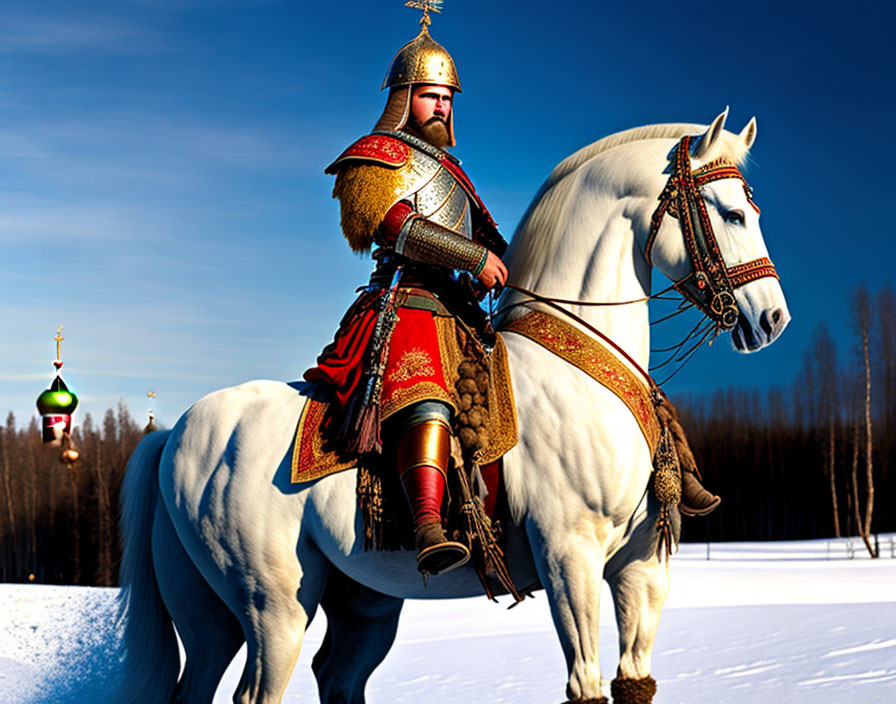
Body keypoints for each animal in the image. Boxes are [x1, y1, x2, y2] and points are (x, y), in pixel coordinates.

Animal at [112, 110, 792, 704]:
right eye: (732, 213)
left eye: (754, 209)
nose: (774, 319)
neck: (582, 372)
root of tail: (177, 433)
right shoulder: (568, 554)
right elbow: (586, 685)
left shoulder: (640, 565)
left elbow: (634, 682)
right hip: (270, 604)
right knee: (256, 689)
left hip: (296, 609)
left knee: (311, 677)